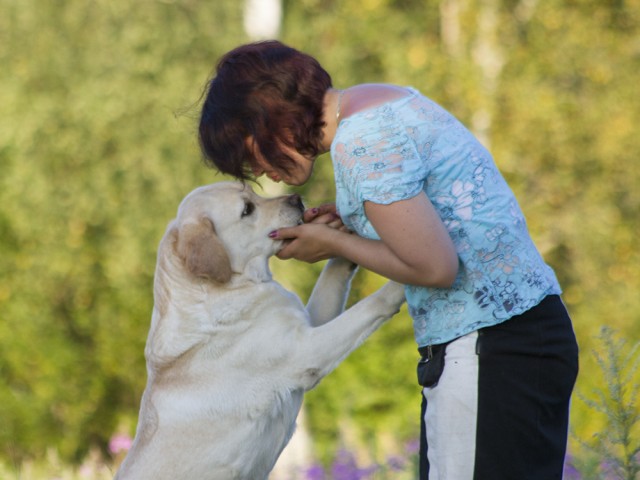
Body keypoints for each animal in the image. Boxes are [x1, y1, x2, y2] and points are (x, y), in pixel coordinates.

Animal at [114, 181, 405, 480]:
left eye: (253, 193)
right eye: (247, 209)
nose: (296, 198)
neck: (233, 287)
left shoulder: (309, 322)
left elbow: (333, 273)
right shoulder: (307, 351)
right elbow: (372, 305)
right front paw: (400, 284)